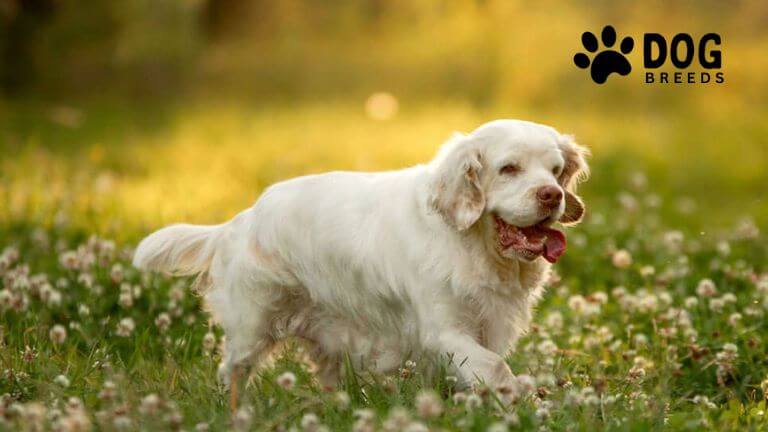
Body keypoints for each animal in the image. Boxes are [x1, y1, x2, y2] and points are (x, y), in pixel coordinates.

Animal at [134, 119, 588, 392]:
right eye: (509, 168)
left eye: (555, 170)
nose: (552, 195)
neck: (474, 244)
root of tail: (241, 221)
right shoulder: (444, 330)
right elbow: (495, 368)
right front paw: (517, 396)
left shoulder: (487, 325)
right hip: (252, 326)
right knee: (232, 370)